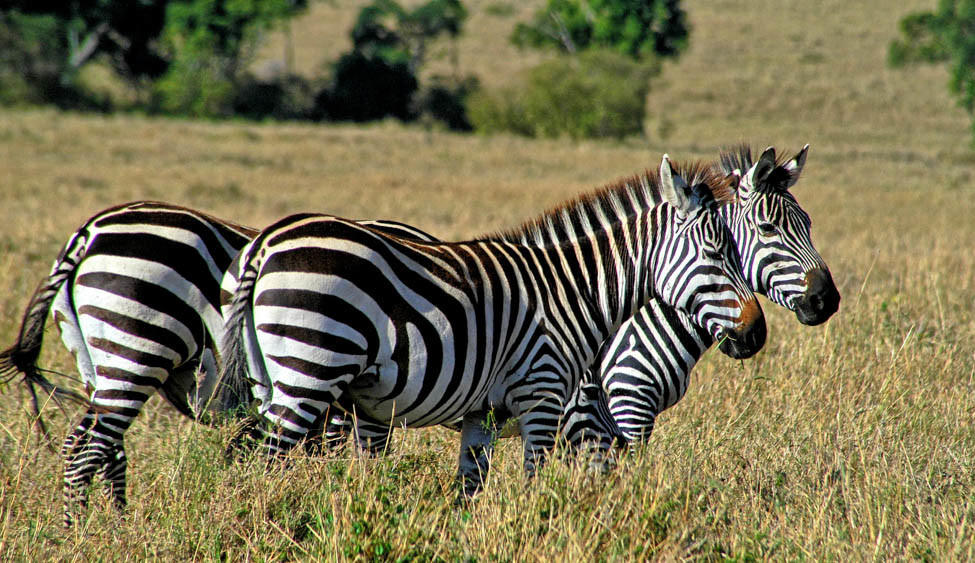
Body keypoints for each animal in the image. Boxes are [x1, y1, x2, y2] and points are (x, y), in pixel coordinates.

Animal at [0, 200, 438, 528]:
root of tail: (88, 233)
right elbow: (344, 460)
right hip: (139, 348)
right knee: (93, 446)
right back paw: (83, 534)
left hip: (95, 362)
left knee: (105, 448)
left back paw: (114, 528)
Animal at [219, 154, 772, 494]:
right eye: (717, 252)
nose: (756, 334)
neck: (574, 292)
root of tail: (267, 241)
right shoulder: (545, 399)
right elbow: (535, 485)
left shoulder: (482, 415)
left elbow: (469, 492)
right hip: (309, 370)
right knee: (263, 461)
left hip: (273, 374)